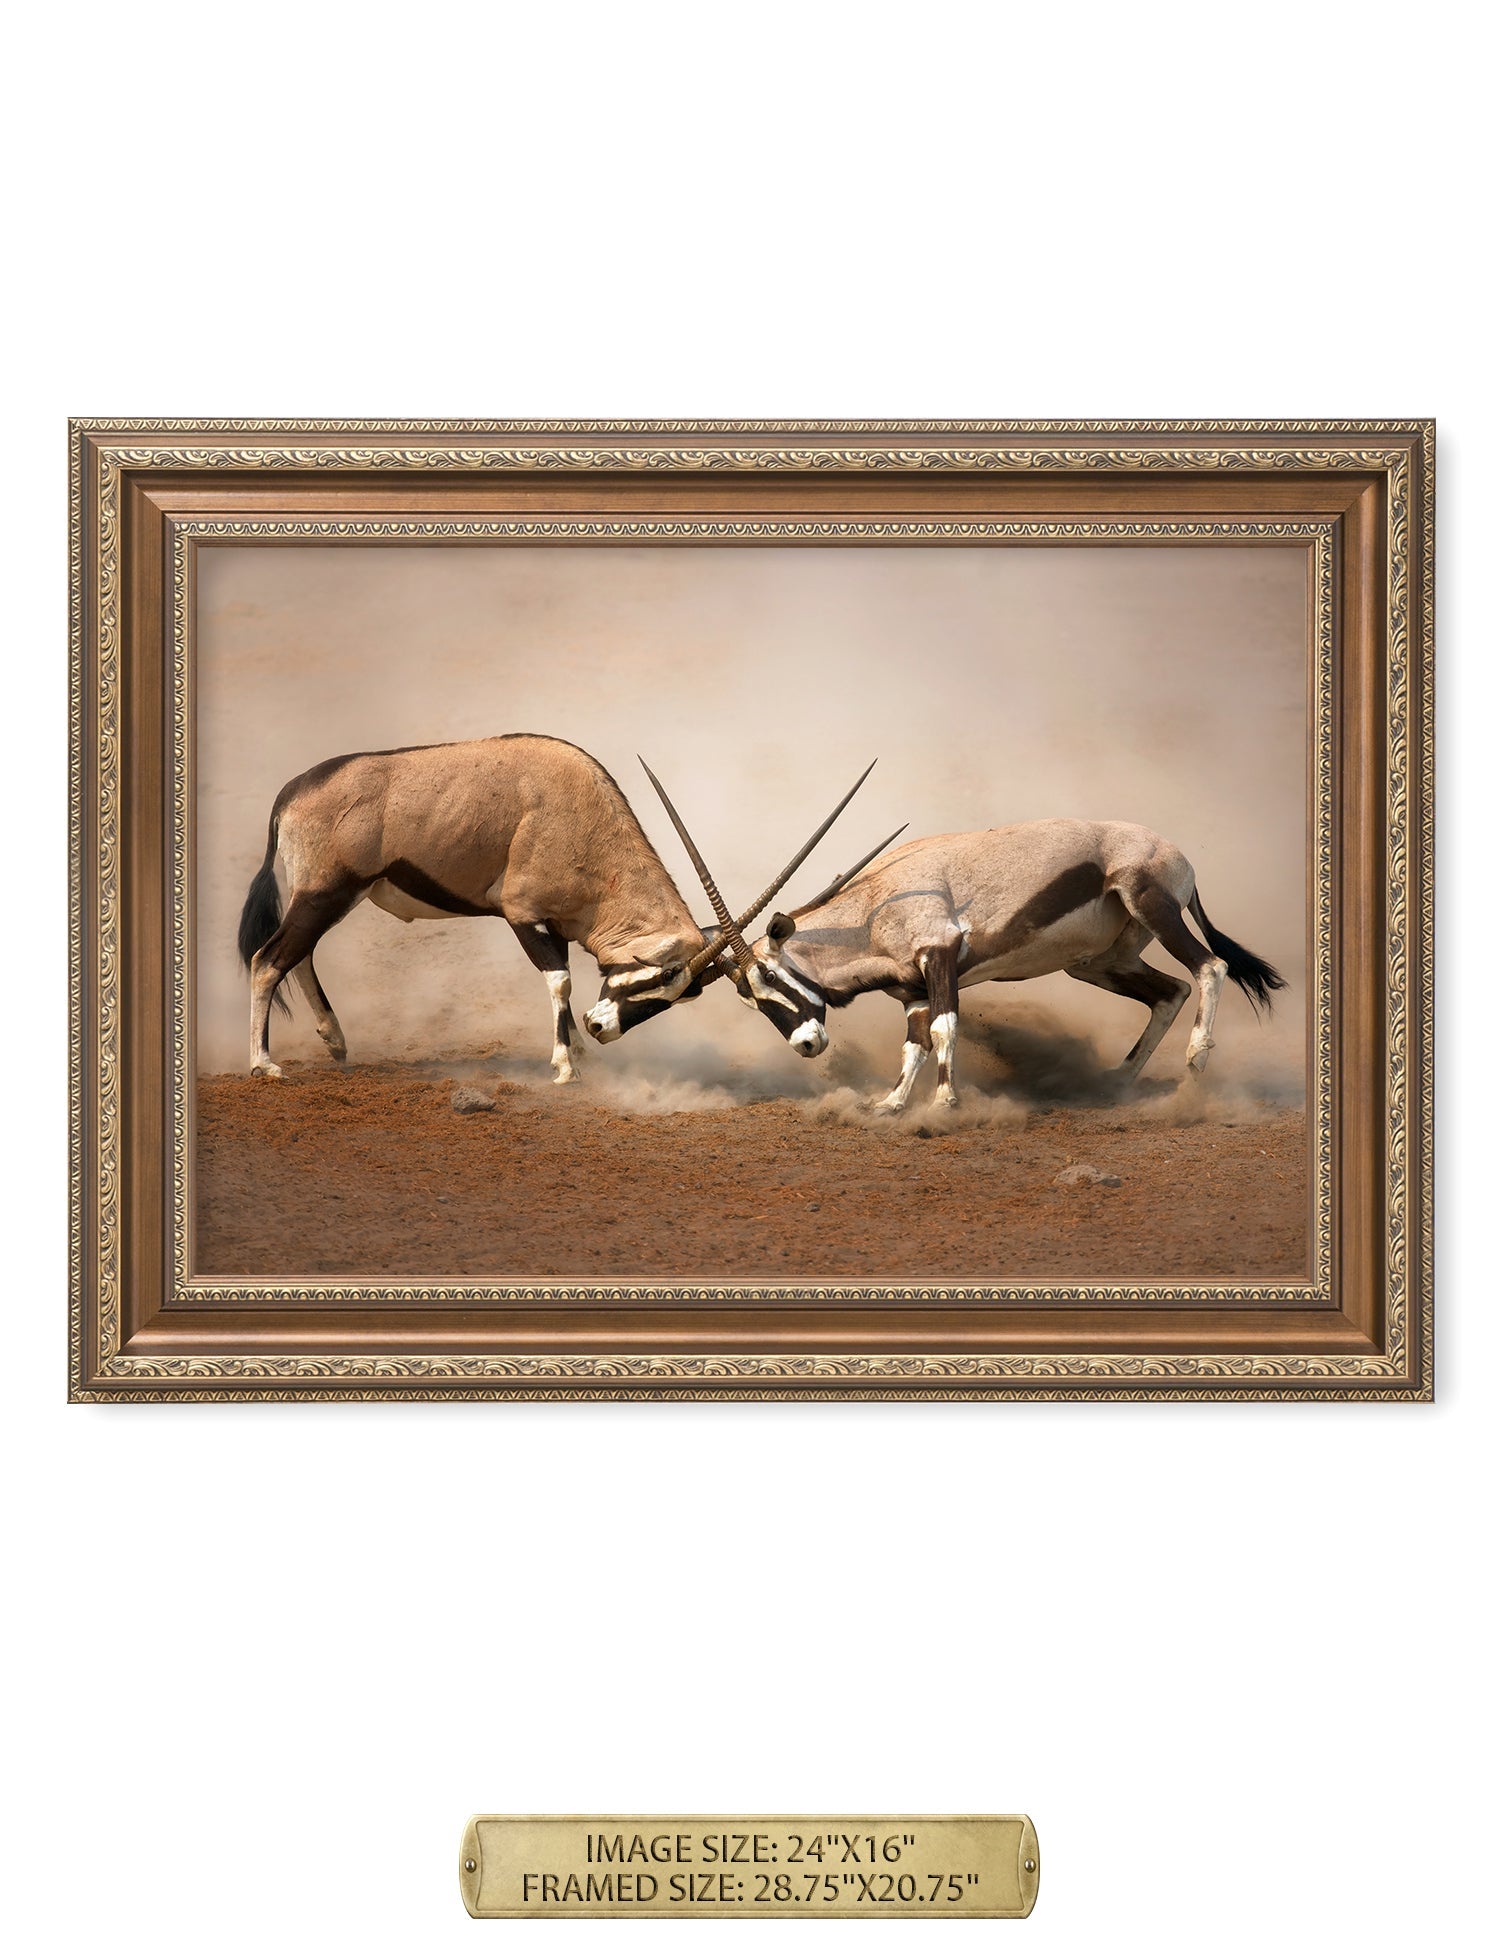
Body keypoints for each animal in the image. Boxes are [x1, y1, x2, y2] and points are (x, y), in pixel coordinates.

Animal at [235, 734, 872, 1080]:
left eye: (679, 995)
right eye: (661, 975)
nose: (602, 1028)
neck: (580, 819)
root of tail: (292, 792)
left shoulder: (560, 924)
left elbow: (563, 982)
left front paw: (577, 1053)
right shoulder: (524, 915)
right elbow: (560, 980)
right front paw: (566, 1065)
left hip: (333, 896)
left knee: (299, 955)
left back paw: (335, 1040)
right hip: (327, 892)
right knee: (269, 959)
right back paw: (264, 1064)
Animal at [634, 782, 1287, 1111]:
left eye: (770, 980)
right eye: (749, 998)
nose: (807, 1044)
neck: (875, 908)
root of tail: (1177, 856)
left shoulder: (940, 956)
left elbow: (946, 1029)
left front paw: (945, 1105)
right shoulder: (911, 990)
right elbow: (915, 1044)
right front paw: (892, 1105)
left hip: (1150, 904)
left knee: (1209, 966)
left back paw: (1195, 1062)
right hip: (1098, 962)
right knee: (1167, 991)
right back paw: (1117, 1082)